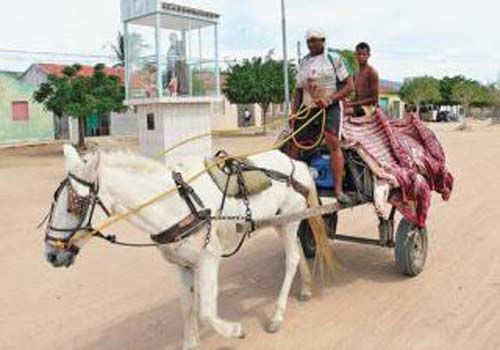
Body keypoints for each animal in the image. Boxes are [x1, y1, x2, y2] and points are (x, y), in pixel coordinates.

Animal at [45, 145, 328, 350]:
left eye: (75, 205)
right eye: (54, 201)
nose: (51, 254)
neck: (176, 204)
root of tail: (296, 164)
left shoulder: (209, 258)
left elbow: (206, 312)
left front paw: (235, 330)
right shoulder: (182, 265)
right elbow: (187, 308)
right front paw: (192, 342)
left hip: (289, 221)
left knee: (291, 260)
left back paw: (277, 316)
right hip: (282, 222)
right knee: (297, 251)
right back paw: (305, 288)